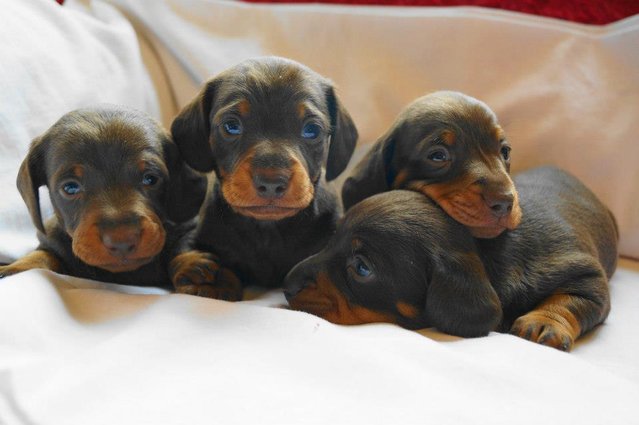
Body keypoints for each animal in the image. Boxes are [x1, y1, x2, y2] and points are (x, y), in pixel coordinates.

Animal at [0, 104, 206, 286]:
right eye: (70, 188)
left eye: (151, 179)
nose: (122, 241)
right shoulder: (52, 242)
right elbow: (43, 254)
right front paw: (17, 266)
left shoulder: (188, 226)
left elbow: (182, 246)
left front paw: (194, 270)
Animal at [170, 58, 360, 300]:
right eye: (231, 126)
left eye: (312, 130)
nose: (271, 183)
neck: (268, 229)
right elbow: (183, 250)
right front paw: (207, 278)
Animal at [286, 166, 620, 352]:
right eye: (332, 239)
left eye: (362, 268)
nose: (287, 285)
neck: (486, 251)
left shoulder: (585, 273)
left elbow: (572, 298)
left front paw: (543, 322)